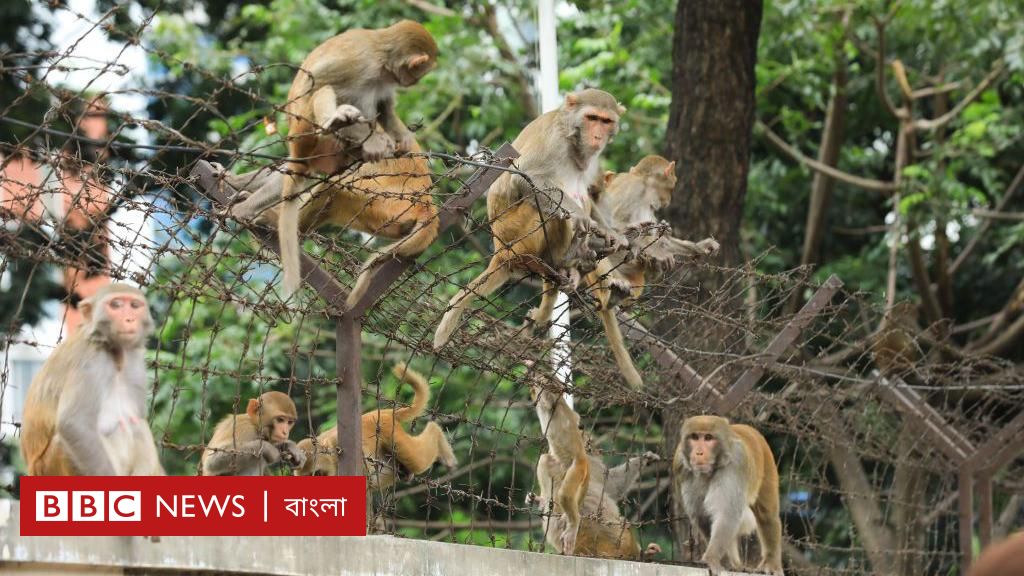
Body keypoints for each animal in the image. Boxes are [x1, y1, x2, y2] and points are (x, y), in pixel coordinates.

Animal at [19, 282, 164, 475]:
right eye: (116, 305)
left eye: (134, 306)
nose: (129, 319)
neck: (114, 353)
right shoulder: (90, 362)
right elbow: (74, 423)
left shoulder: (135, 361)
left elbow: (138, 416)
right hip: (48, 467)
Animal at [220, 137, 436, 307]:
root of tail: (427, 205)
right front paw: (231, 179)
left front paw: (242, 209)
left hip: (388, 202)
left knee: (337, 183)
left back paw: (279, 225)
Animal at [671, 414, 782, 569]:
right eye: (694, 437)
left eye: (708, 438)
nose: (699, 452)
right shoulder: (681, 466)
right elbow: (702, 515)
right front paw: (723, 560)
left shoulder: (736, 463)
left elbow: (727, 513)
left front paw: (711, 558)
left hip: (768, 463)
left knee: (766, 514)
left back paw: (771, 562)